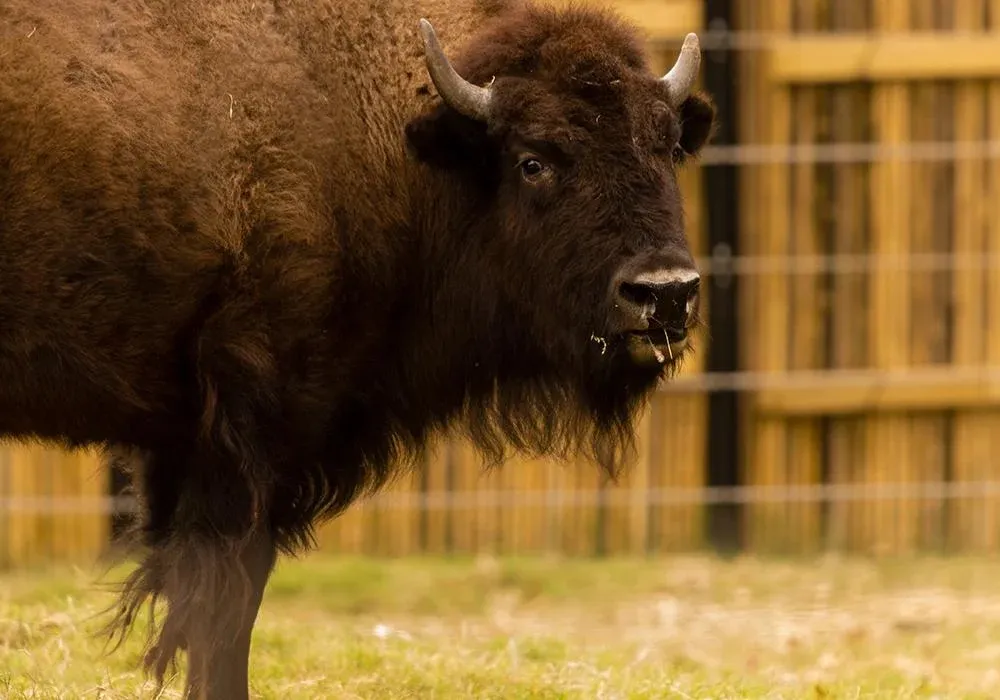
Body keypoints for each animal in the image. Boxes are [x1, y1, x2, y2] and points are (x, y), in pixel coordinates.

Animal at [1, 0, 720, 696]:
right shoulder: (249, 441)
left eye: (665, 147)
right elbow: (223, 609)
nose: (664, 293)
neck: (402, 148)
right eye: (533, 161)